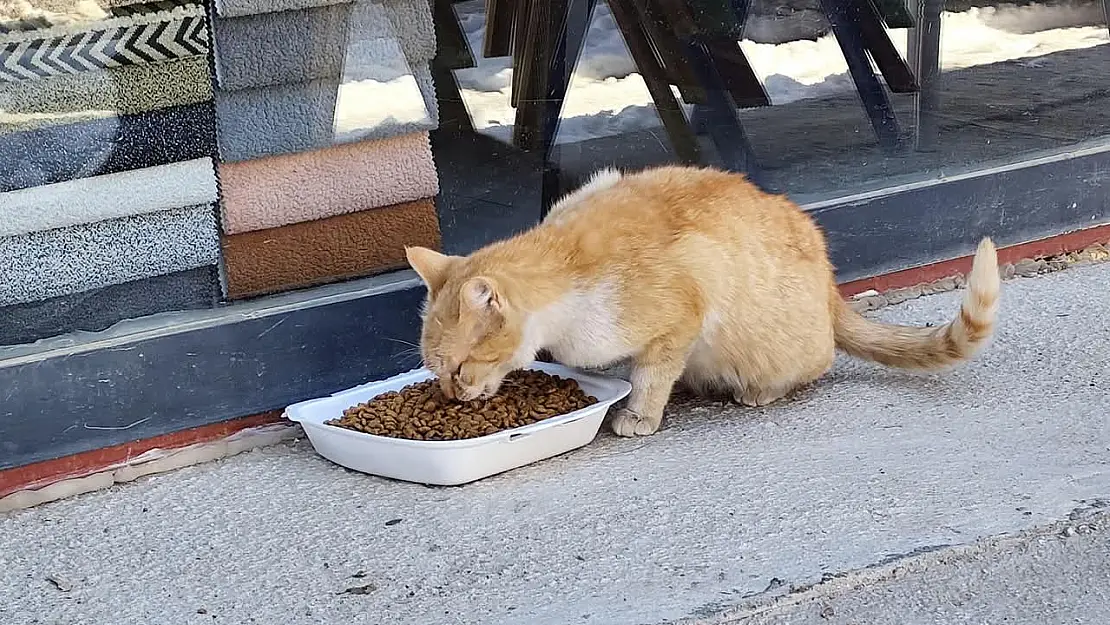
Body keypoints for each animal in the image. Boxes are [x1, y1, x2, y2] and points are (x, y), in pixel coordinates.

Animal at [404, 168, 1003, 437]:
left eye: (458, 368)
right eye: (436, 370)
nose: (451, 398)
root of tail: (832, 290)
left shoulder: (681, 315)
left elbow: (651, 375)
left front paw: (639, 415)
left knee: (814, 365)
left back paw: (757, 391)